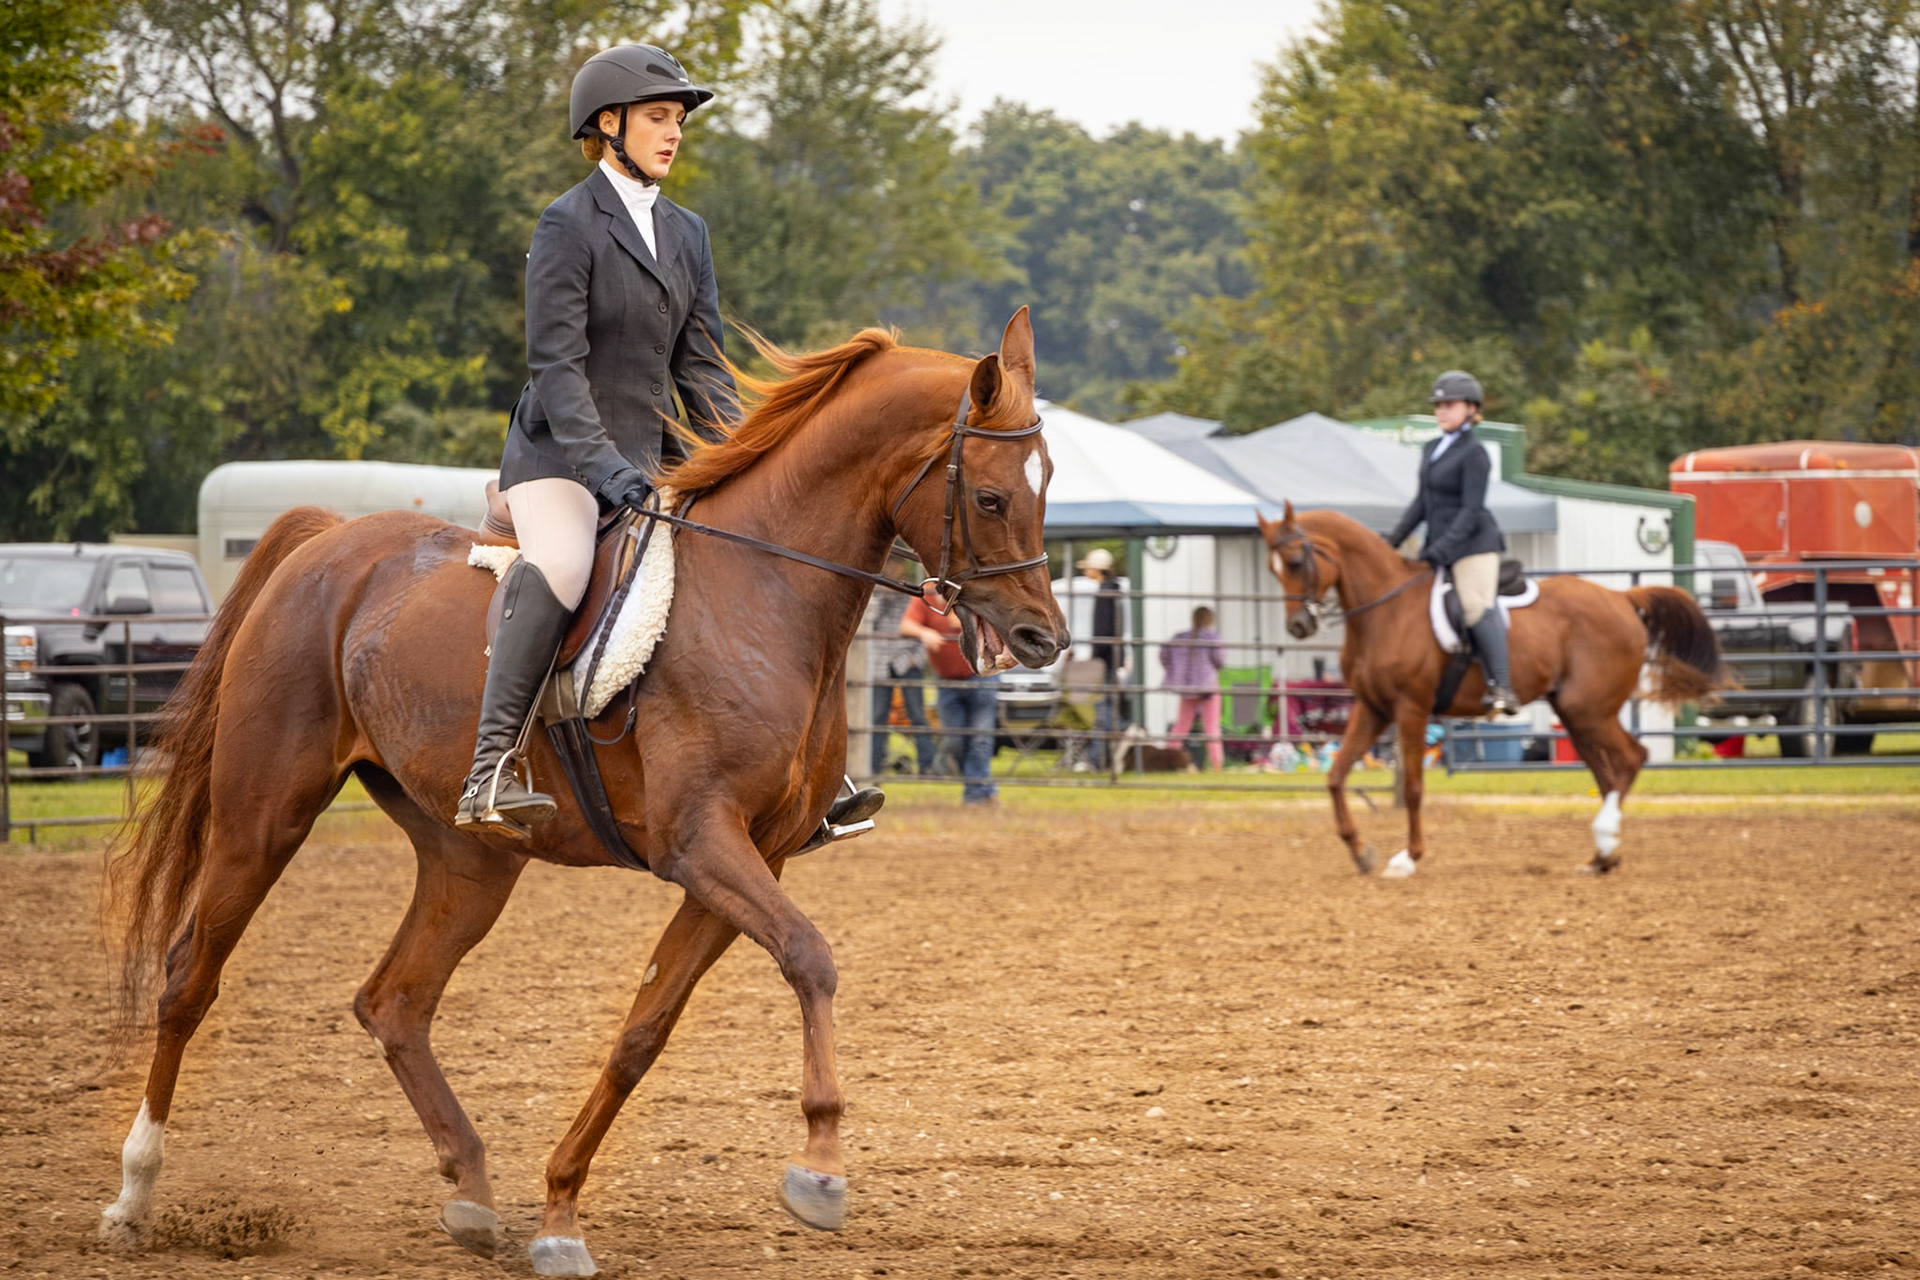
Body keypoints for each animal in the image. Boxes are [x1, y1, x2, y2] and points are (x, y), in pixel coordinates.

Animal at [98, 311, 1069, 1277]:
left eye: (1049, 482)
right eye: (990, 498)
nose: (1042, 639)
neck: (762, 595)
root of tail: (327, 539)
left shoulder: (746, 860)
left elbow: (646, 1029)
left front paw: (561, 1211)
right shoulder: (701, 843)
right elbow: (809, 957)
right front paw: (821, 1168)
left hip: (471, 860)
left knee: (395, 1002)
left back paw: (471, 1190)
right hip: (263, 818)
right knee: (189, 982)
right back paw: (133, 1195)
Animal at [1259, 502, 1725, 876]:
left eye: (1296, 562)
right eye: (1272, 570)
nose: (1298, 627)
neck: (1384, 611)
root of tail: (1622, 597)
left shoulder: (1411, 708)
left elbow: (1412, 787)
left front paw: (1408, 857)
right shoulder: (1373, 708)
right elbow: (1336, 777)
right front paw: (1360, 852)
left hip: (1589, 709)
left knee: (1632, 758)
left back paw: (1606, 840)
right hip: (1576, 714)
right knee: (1609, 772)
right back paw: (1601, 857)